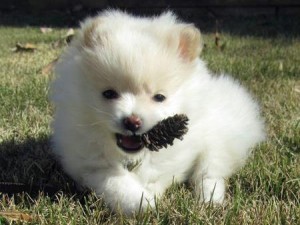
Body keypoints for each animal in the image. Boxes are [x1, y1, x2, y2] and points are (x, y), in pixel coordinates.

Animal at [51, 10, 264, 214]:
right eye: (109, 93)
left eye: (159, 97)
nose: (132, 121)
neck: (134, 156)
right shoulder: (89, 163)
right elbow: (114, 182)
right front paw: (142, 203)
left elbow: (174, 172)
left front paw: (150, 197)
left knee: (210, 171)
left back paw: (210, 200)